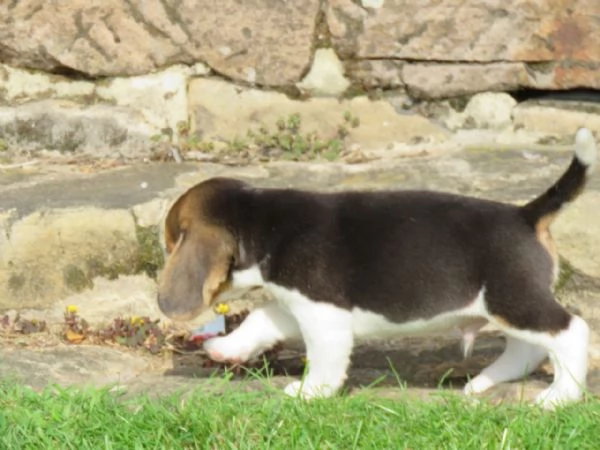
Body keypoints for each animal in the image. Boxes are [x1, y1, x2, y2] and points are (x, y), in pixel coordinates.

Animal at [158, 127, 596, 408]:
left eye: (169, 243)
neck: (265, 222)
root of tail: (526, 214)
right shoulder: (297, 305)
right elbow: (260, 320)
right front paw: (226, 348)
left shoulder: (324, 316)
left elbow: (324, 359)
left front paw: (310, 393)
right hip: (505, 306)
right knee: (528, 347)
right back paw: (484, 382)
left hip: (512, 299)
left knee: (571, 332)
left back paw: (560, 397)